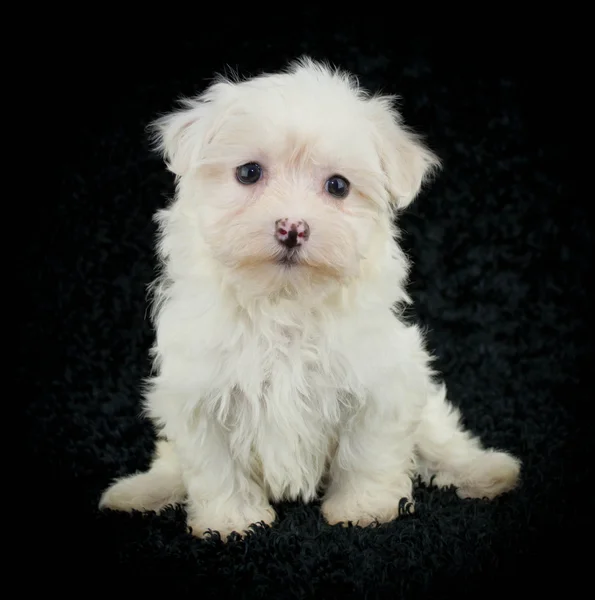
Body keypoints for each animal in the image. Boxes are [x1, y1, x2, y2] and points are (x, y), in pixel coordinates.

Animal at [100, 58, 524, 540]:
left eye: (338, 186)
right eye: (249, 173)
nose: (292, 228)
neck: (284, 301)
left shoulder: (379, 381)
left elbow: (367, 452)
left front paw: (364, 509)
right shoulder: (199, 393)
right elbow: (216, 466)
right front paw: (231, 522)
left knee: (440, 438)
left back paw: (485, 471)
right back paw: (138, 493)